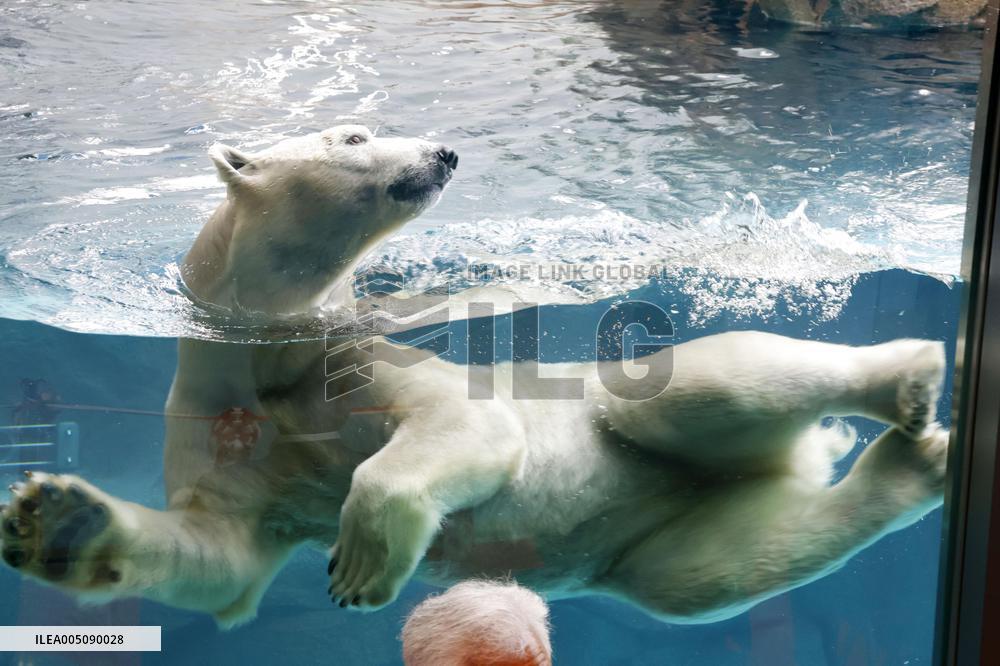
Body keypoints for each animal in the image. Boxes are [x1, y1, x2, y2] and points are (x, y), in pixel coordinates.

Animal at [0, 125, 949, 629]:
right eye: (354, 134)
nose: (444, 151)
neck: (269, 352)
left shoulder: (353, 362)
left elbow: (468, 428)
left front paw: (359, 566)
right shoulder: (218, 417)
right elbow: (221, 555)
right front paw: (54, 520)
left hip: (623, 407)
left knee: (697, 385)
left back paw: (906, 378)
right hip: (666, 528)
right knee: (715, 568)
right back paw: (913, 463)